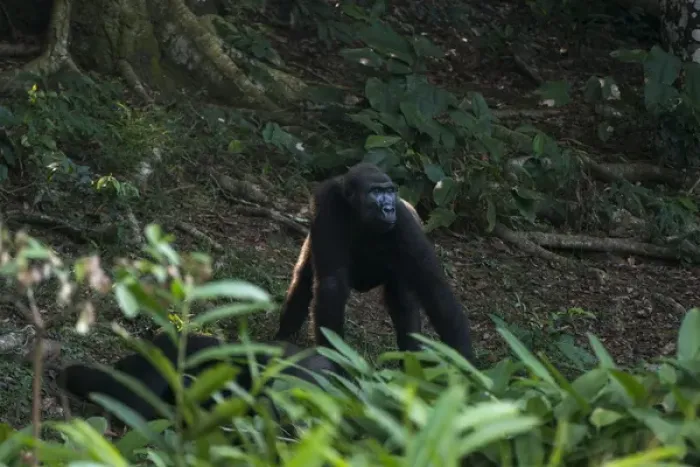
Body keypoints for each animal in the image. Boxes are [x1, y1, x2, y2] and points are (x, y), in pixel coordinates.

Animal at [274, 162, 475, 364]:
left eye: (389, 191)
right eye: (375, 191)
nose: (388, 208)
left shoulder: (404, 219)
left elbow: (435, 289)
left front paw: (464, 362)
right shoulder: (326, 201)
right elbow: (332, 284)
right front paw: (334, 357)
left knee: (403, 299)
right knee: (304, 280)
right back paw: (283, 339)